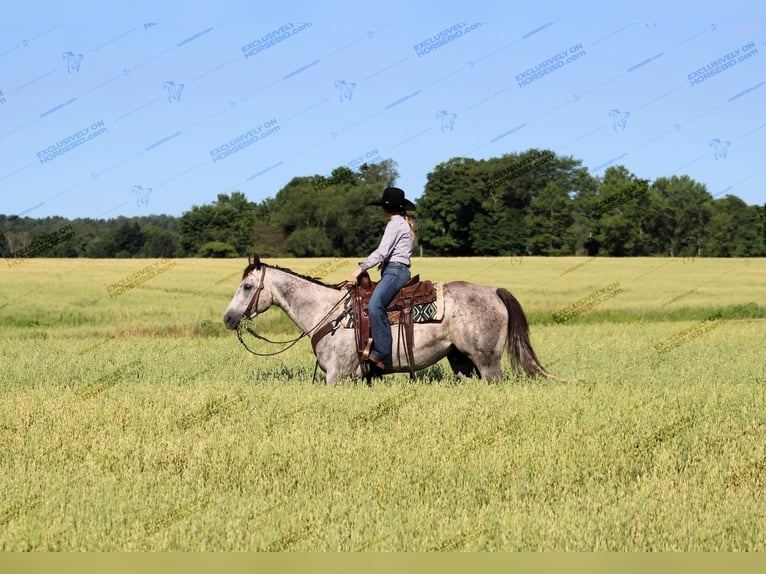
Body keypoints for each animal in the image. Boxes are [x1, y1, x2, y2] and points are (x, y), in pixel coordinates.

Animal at [224, 256, 564, 388]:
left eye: (248, 286)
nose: (227, 318)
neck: (327, 312)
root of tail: (493, 290)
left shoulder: (337, 375)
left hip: (488, 362)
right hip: (461, 362)